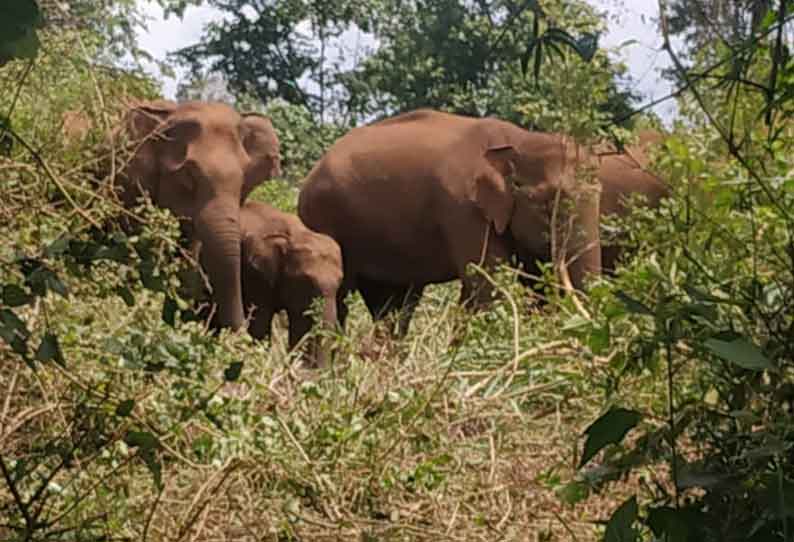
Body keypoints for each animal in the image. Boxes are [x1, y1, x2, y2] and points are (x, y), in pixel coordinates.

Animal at [296, 109, 600, 338]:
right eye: (549, 203)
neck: (517, 139)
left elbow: (530, 285)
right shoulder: (462, 208)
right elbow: (487, 283)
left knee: (393, 304)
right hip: (324, 219)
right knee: (338, 300)